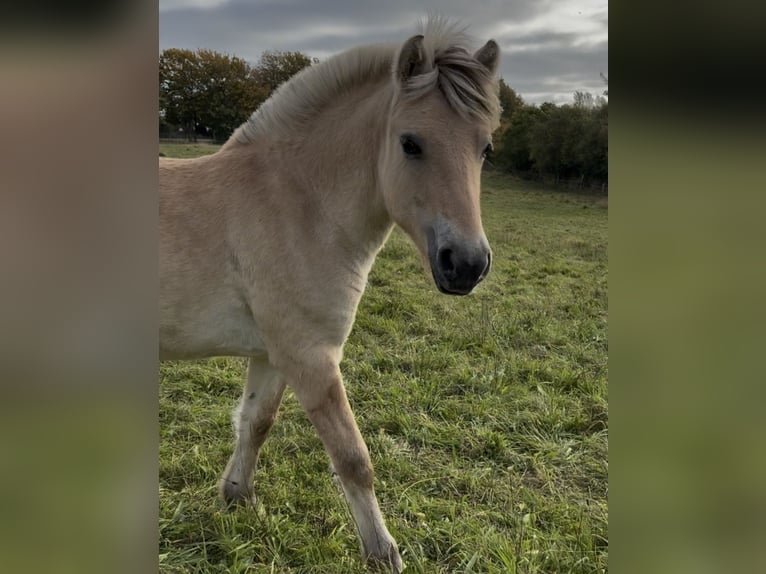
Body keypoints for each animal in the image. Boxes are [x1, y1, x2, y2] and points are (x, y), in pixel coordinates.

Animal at [159, 18, 500, 572]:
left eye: (485, 148)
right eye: (410, 143)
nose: (466, 264)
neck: (300, 206)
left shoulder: (274, 354)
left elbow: (255, 422)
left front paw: (236, 497)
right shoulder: (312, 357)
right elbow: (353, 458)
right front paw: (383, 552)